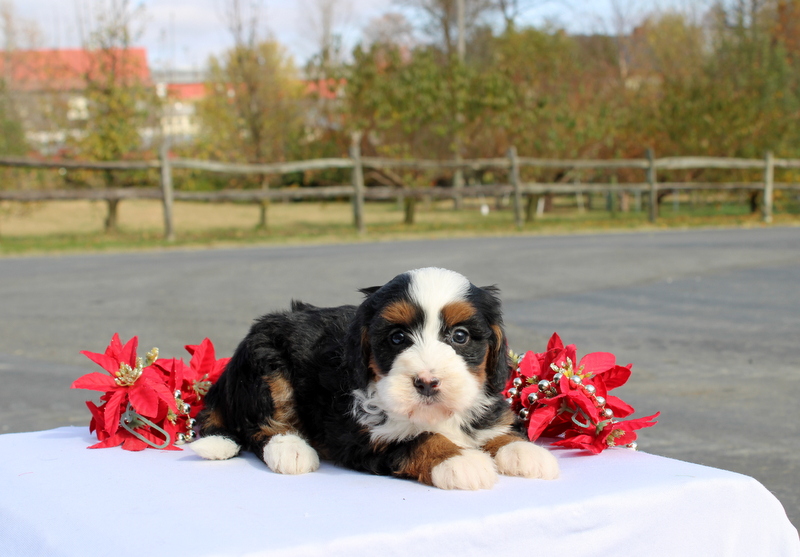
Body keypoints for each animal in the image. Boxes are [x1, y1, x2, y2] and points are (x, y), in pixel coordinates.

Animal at [192, 268, 556, 488]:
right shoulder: (362, 435)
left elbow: (491, 430)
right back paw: (291, 449)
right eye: (396, 338)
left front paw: (521, 450)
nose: (427, 382)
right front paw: (459, 460)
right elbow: (418, 439)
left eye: (460, 336)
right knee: (258, 424)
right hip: (267, 366)